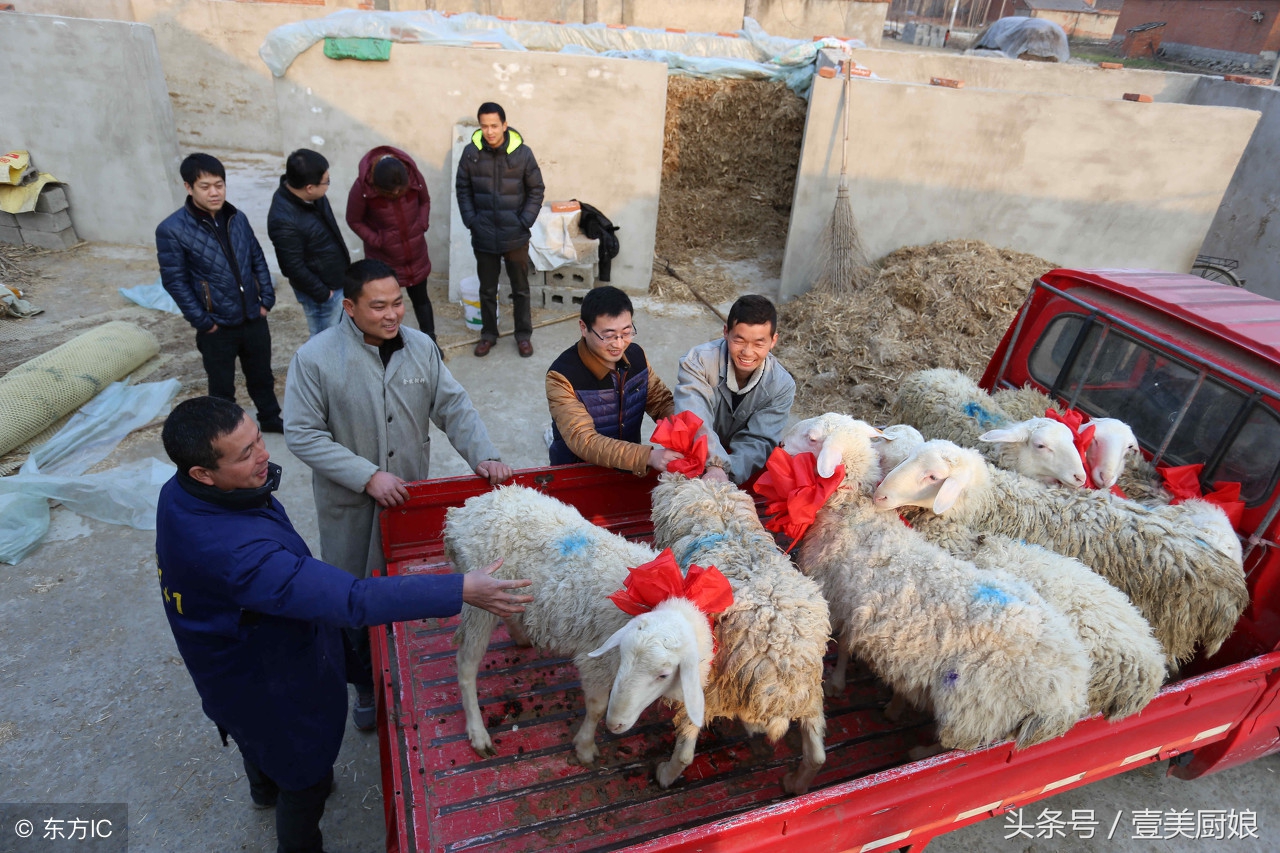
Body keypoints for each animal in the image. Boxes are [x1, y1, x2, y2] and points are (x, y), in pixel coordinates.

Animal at [445, 481, 716, 768]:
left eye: (663, 675)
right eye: (624, 655)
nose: (616, 724)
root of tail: (464, 511)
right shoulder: (596, 661)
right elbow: (596, 707)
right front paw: (585, 747)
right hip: (478, 602)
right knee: (466, 665)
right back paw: (478, 733)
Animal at [650, 473, 829, 794]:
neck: (721, 522)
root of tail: (779, 663)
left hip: (707, 686)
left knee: (685, 751)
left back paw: (665, 774)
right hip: (809, 690)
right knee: (817, 753)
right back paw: (796, 783)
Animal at [778, 414, 1090, 747]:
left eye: (812, 438)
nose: (781, 443)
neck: (854, 512)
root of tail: (1069, 693)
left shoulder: (843, 599)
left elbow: (845, 646)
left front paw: (836, 682)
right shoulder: (856, 606)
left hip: (977, 711)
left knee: (953, 744)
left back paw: (918, 750)